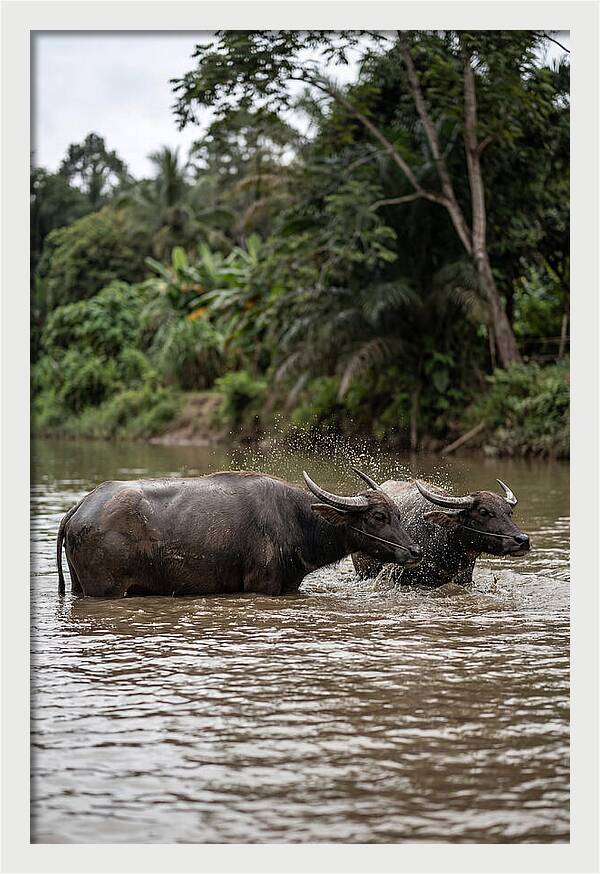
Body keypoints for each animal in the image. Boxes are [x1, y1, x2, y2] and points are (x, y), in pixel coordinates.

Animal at [57, 468, 423, 598]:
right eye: (379, 516)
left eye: (398, 514)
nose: (415, 551)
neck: (296, 520)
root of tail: (79, 508)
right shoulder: (264, 585)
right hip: (107, 590)